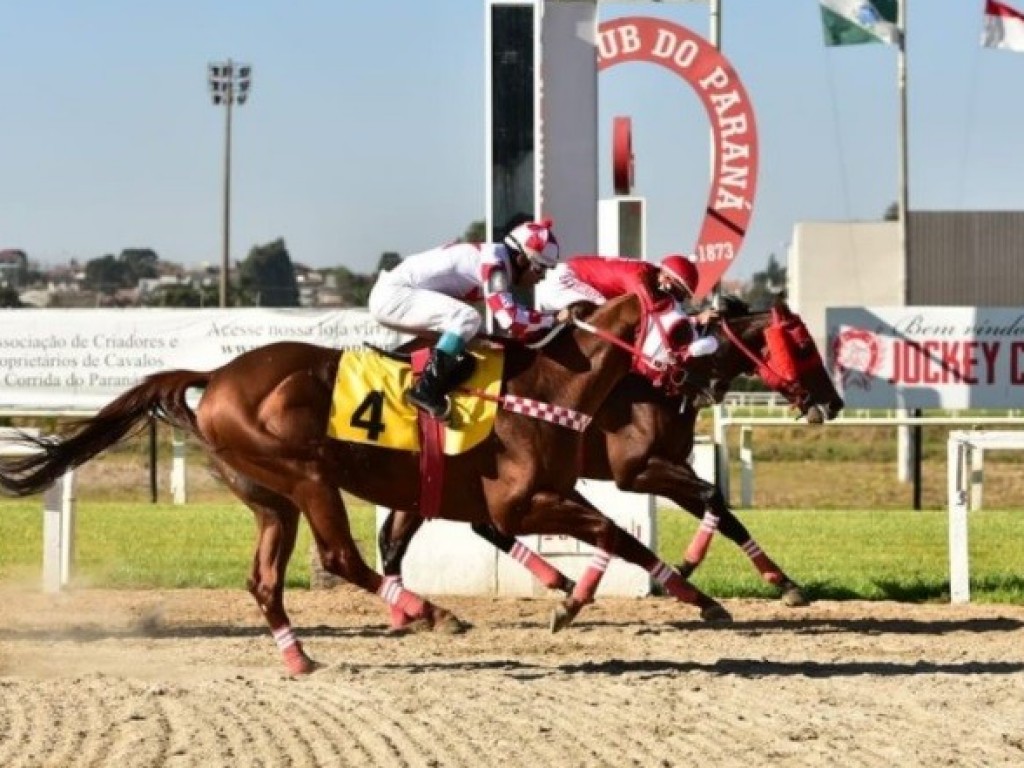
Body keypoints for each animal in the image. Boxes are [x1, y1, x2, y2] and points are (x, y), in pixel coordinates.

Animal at [0, 290, 729, 675]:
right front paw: (576, 600)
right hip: (308, 476)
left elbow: (624, 538)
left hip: (271, 499)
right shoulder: (520, 503)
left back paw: (300, 657)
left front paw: (694, 598)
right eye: (685, 324)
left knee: (265, 579)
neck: (550, 385)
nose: (696, 382)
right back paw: (430, 613)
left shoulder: (549, 493)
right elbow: (609, 531)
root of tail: (217, 377)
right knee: (338, 556)